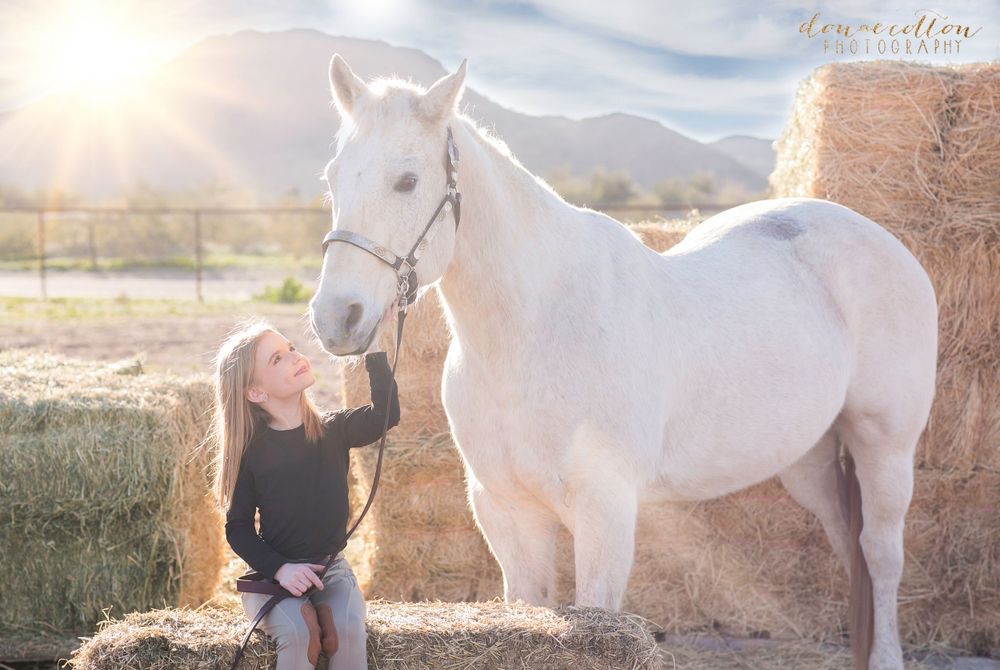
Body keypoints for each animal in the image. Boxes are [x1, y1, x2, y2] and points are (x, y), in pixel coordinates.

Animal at [308, 55, 938, 670]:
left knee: (879, 553)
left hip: (884, 442)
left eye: (407, 180)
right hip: (808, 457)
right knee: (847, 543)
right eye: (333, 178)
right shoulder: (505, 509)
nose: (335, 317)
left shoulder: (604, 509)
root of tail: (887, 244)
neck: (534, 330)